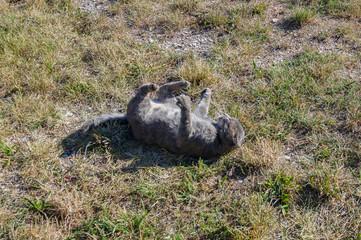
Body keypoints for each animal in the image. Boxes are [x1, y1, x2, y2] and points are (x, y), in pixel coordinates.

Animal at [81, 81, 245, 159]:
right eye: (229, 118)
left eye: (228, 122)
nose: (224, 115)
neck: (217, 132)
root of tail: (127, 118)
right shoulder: (200, 113)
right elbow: (203, 103)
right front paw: (207, 92)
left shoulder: (187, 138)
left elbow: (186, 120)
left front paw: (186, 103)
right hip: (167, 99)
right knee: (164, 88)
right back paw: (182, 83)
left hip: (139, 107)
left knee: (141, 93)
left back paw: (154, 88)